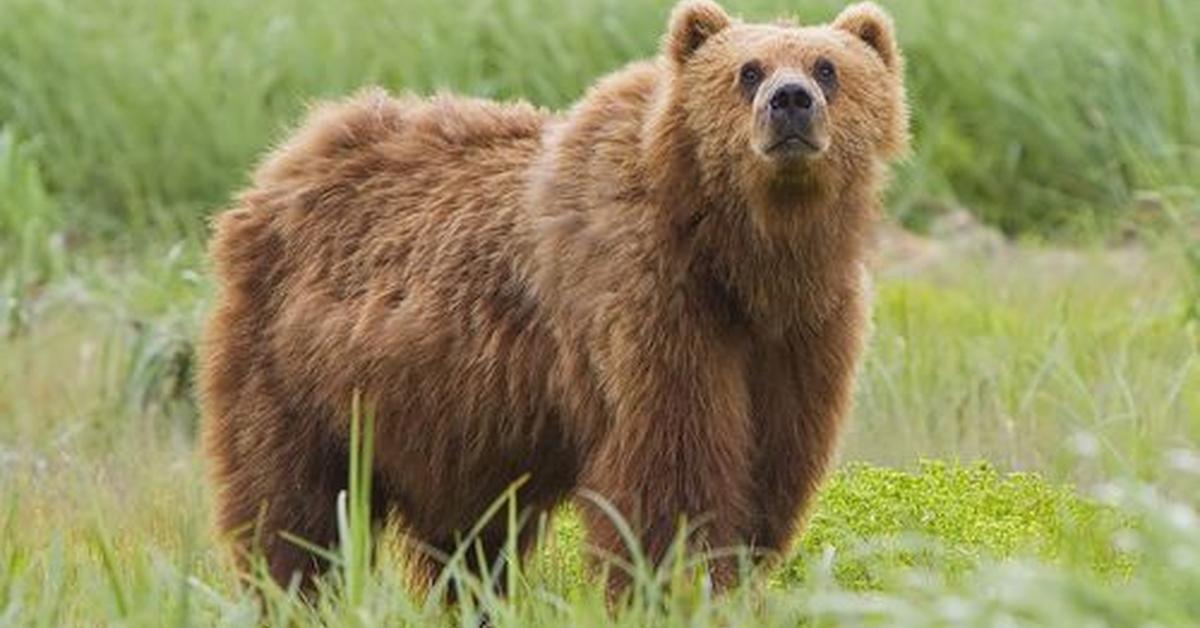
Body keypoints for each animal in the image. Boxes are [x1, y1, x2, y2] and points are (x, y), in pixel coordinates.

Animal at [199, 0, 907, 600]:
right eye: (747, 70)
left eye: (828, 67)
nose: (790, 102)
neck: (742, 259)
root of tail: (286, 157)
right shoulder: (649, 304)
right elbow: (670, 474)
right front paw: (676, 583)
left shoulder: (801, 333)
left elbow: (771, 467)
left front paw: (736, 576)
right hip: (296, 370)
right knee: (292, 506)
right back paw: (289, 591)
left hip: (449, 420)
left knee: (468, 539)